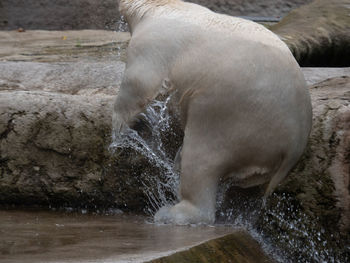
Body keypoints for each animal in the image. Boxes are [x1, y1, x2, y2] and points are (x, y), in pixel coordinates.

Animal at [114, 1, 312, 226]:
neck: (163, 7)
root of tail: (293, 146)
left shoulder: (153, 42)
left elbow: (139, 82)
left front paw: (119, 129)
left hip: (234, 117)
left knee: (203, 159)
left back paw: (171, 211)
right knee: (249, 188)